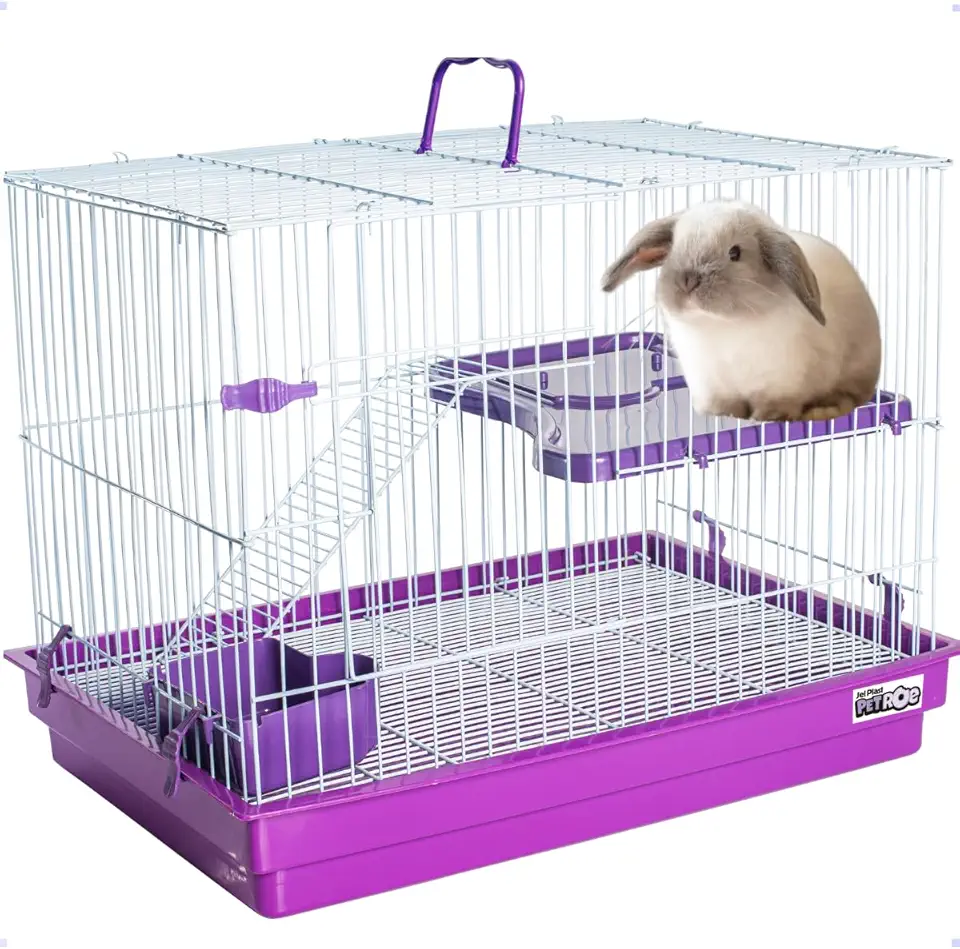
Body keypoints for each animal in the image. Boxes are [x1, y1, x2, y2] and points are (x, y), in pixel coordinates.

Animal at [600, 198, 882, 423]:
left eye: (735, 253)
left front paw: (767, 418)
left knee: (850, 397)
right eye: (673, 249)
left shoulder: (781, 383)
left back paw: (821, 411)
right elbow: (724, 406)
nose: (688, 280)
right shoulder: (712, 386)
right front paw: (722, 416)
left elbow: (777, 404)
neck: (722, 325)